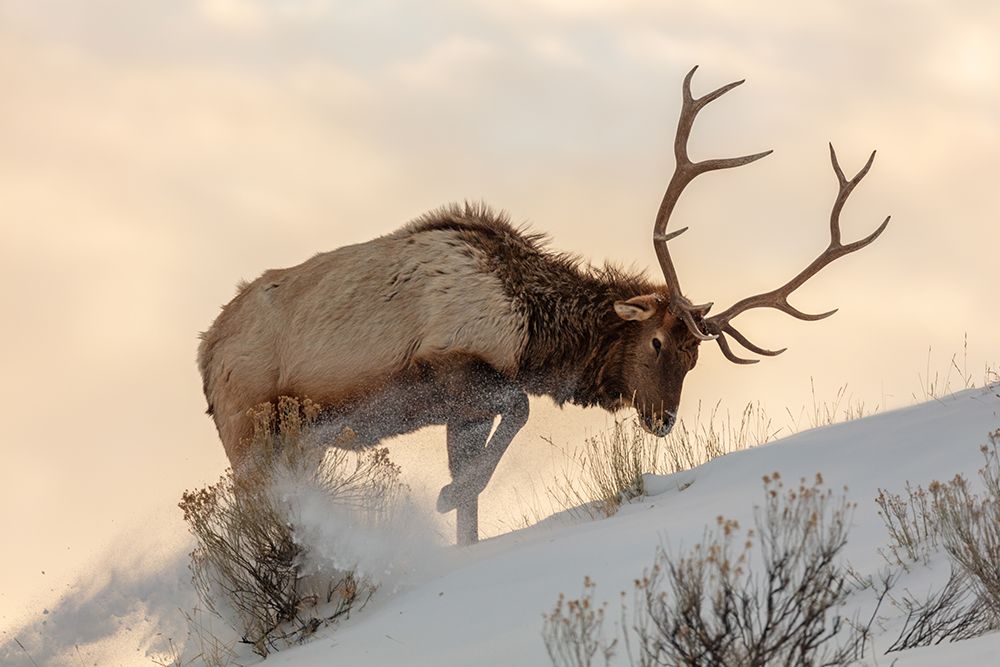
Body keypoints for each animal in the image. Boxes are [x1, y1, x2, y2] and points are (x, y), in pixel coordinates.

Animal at [198, 67, 890, 545]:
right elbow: (519, 413)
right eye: (658, 341)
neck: (533, 332)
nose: (663, 420)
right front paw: (444, 495)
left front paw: (457, 514)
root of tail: (205, 354)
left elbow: (477, 497)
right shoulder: (451, 367)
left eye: (696, 359)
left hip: (296, 443)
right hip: (248, 433)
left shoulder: (460, 409)